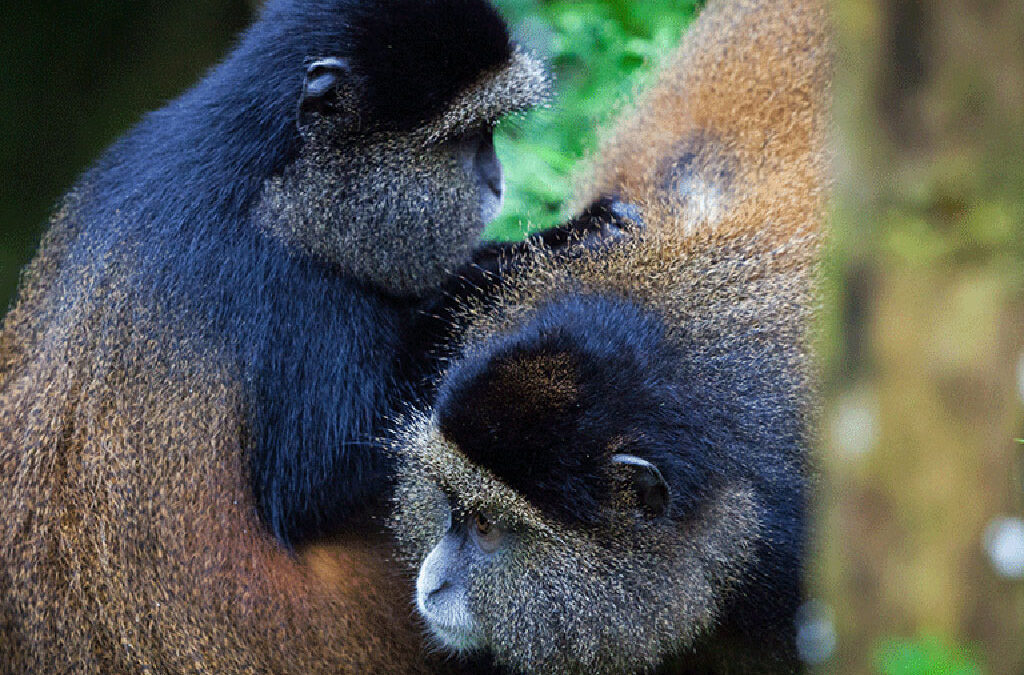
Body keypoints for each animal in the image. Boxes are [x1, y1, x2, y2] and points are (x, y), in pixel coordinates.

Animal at [0, 0, 623, 672]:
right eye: (464, 138)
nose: (495, 179)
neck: (272, 175)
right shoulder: (276, 282)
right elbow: (322, 473)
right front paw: (552, 247)